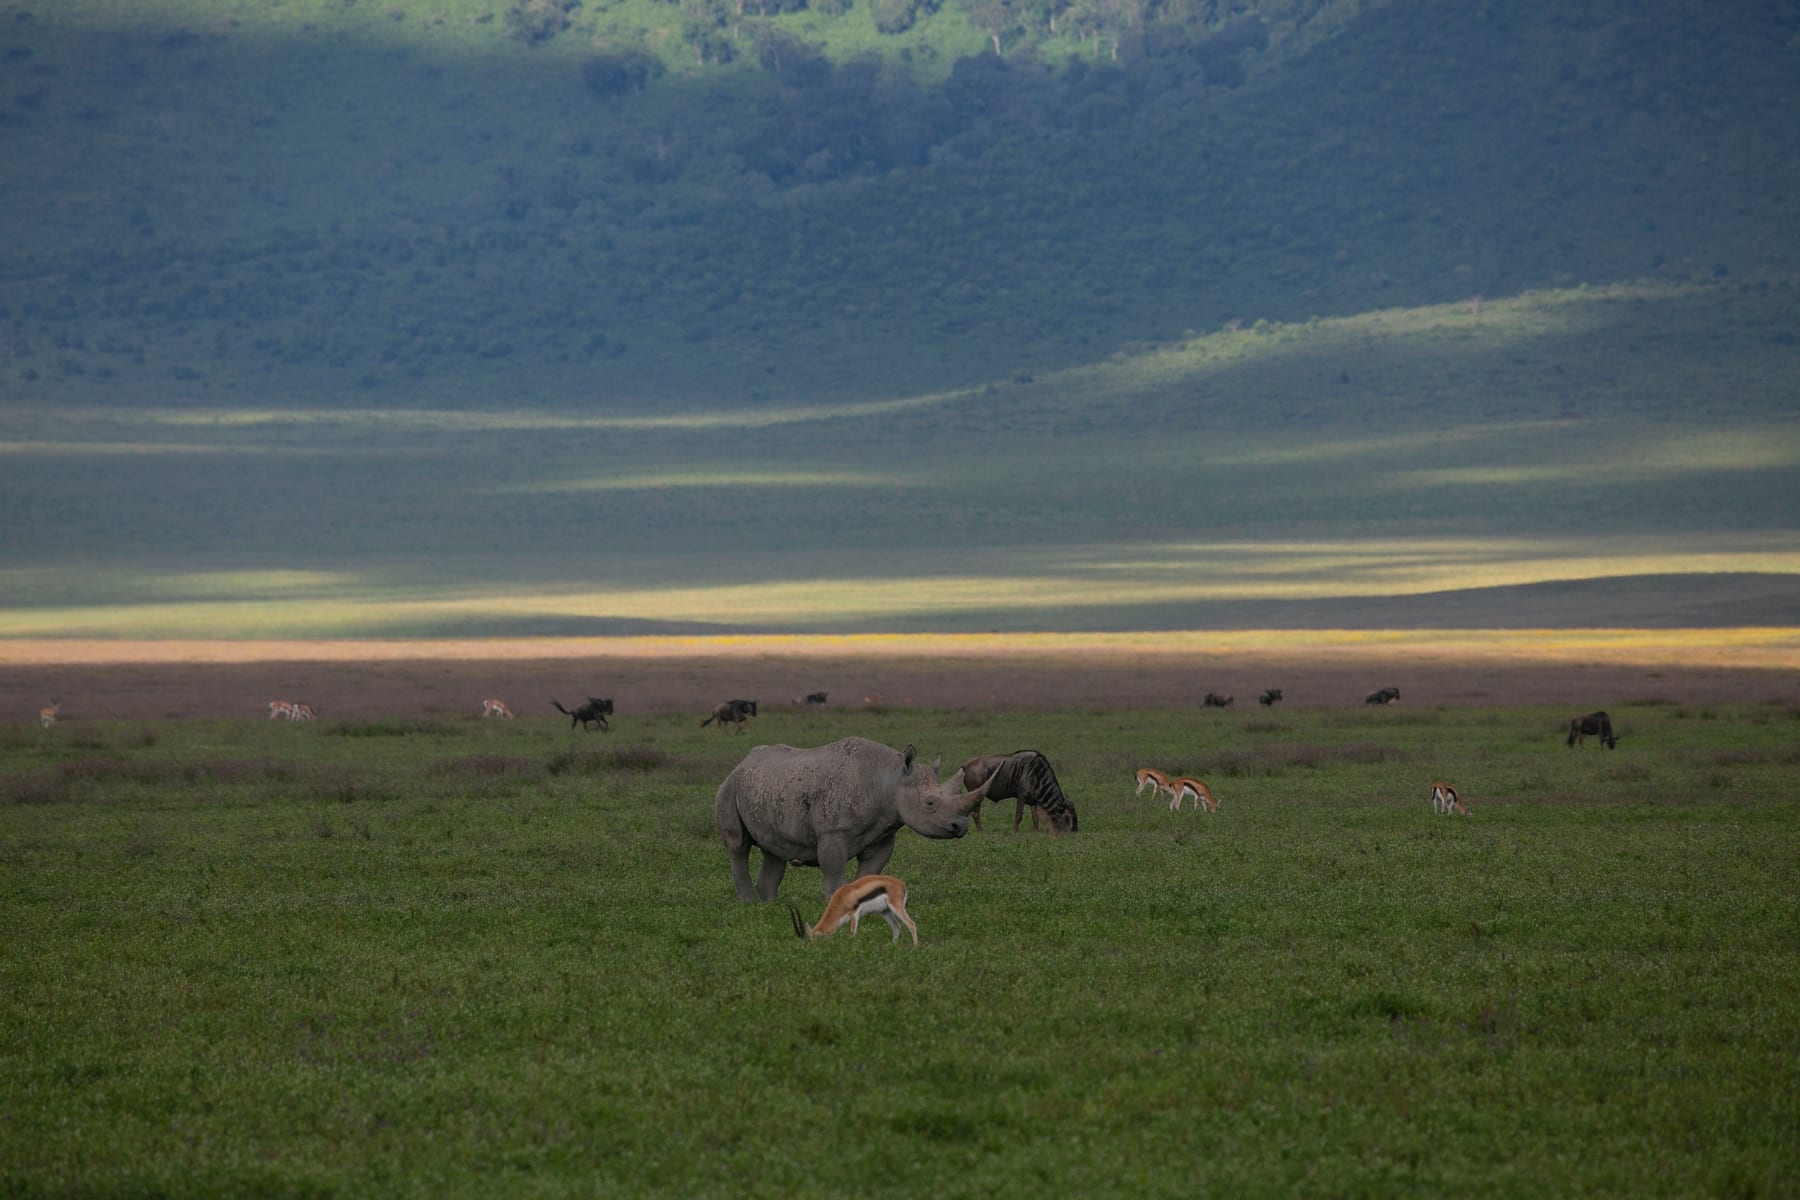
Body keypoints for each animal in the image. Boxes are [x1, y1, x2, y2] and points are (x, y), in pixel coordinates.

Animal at [714, 736, 993, 903]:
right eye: (930, 804)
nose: (960, 827)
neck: (889, 779)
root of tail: (742, 763)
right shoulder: (833, 831)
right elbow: (835, 872)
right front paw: (832, 905)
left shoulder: (883, 835)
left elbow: (870, 873)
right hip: (729, 787)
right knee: (738, 845)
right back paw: (749, 905)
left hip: (767, 788)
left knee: (774, 851)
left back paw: (769, 906)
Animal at [787, 874, 918, 945]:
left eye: (810, 941)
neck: (842, 897)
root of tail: (902, 884)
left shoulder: (854, 914)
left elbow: (852, 933)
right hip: (884, 912)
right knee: (896, 928)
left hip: (897, 908)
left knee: (911, 924)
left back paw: (915, 948)